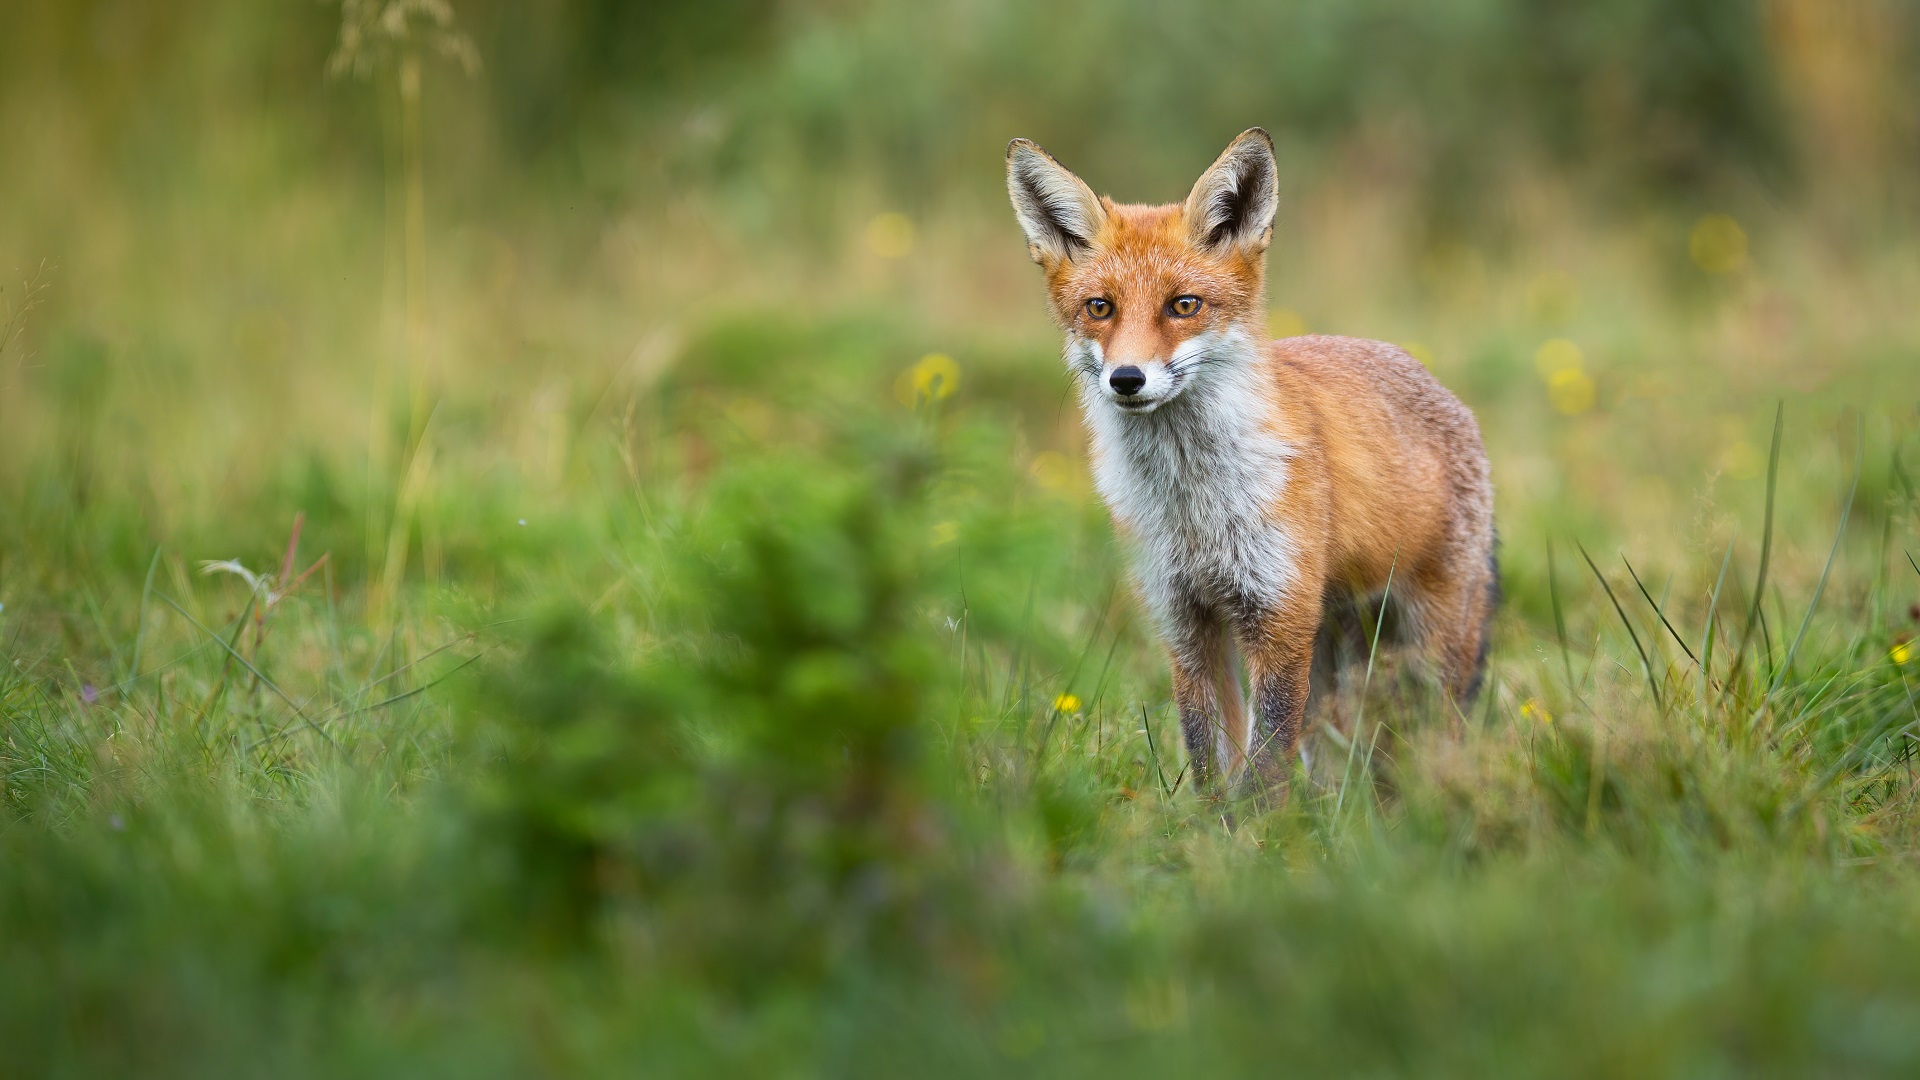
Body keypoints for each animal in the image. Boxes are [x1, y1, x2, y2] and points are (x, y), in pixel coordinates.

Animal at [1005, 128, 1497, 799]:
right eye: (1100, 308)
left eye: (1184, 305)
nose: (1126, 379)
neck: (1194, 505)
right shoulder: (1184, 618)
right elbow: (1209, 754)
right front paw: (1212, 826)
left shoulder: (1277, 614)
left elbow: (1264, 765)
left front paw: (1261, 828)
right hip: (1331, 643)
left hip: (1430, 640)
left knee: (1434, 732)